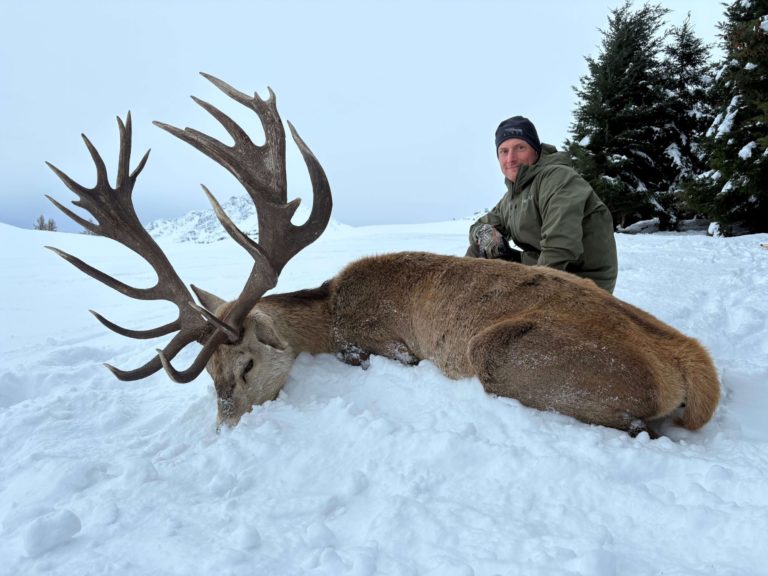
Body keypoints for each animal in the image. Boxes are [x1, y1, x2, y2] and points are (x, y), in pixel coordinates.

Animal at [46, 73, 720, 437]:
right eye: (207, 378)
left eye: (246, 365)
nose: (226, 428)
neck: (325, 313)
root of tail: (695, 367)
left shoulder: (377, 341)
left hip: (506, 354)